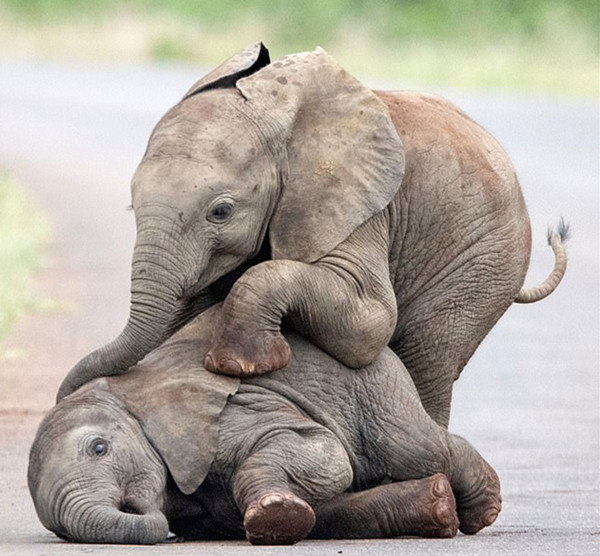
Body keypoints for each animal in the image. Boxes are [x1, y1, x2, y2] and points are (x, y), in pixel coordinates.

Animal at [31, 308, 502, 548]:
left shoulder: (232, 411)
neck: (129, 392)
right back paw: (439, 508)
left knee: (417, 448)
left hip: (374, 386)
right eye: (59, 531)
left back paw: (483, 507)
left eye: (98, 448)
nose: (140, 509)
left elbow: (321, 450)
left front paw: (273, 513)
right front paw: (279, 517)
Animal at [58, 42, 568, 426]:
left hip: (486, 261)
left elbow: (370, 324)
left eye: (220, 212)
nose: (65, 398)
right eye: (132, 207)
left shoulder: (358, 208)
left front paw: (242, 364)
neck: (279, 119)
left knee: (429, 359)